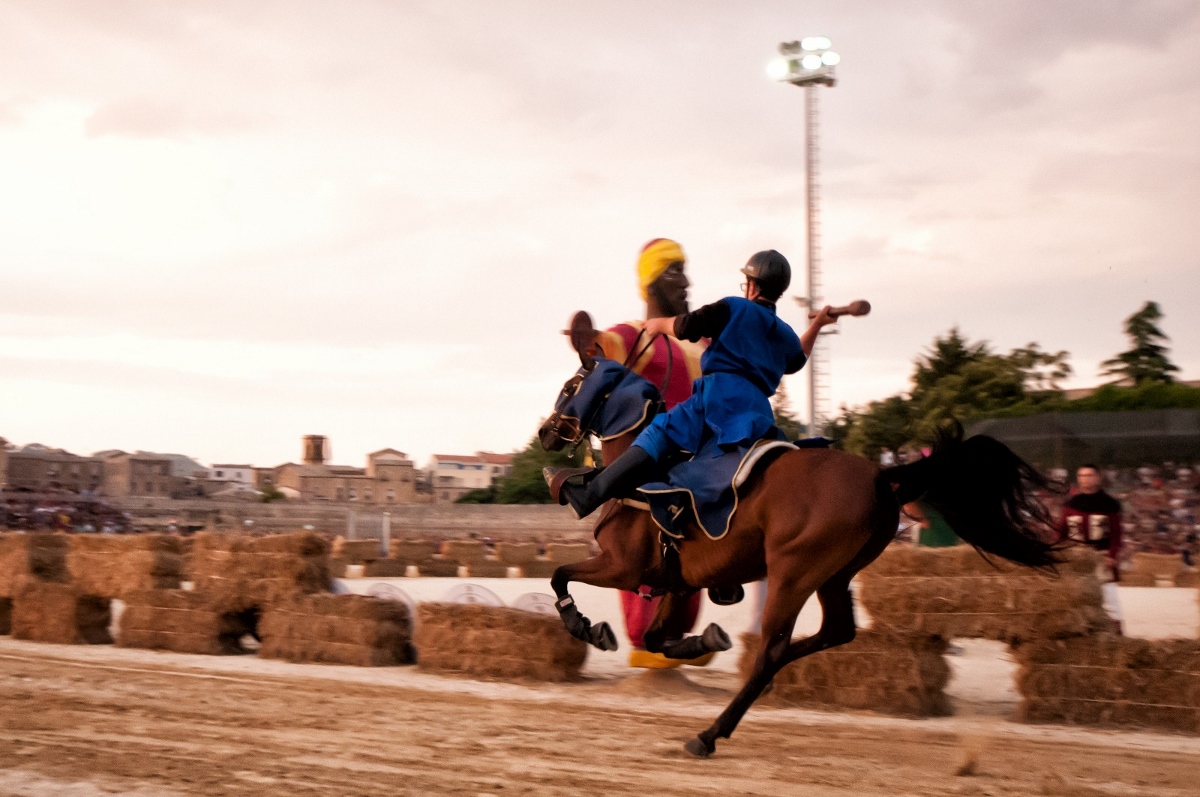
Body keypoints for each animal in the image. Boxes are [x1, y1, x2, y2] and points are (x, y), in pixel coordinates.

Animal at [540, 312, 1056, 758]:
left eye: (571, 386)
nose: (546, 432)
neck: (638, 481)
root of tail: (878, 475)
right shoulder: (678, 582)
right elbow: (656, 637)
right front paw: (703, 641)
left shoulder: (623, 569)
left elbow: (559, 575)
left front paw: (585, 625)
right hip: (833, 576)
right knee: (831, 633)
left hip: (793, 573)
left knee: (772, 650)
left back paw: (710, 734)